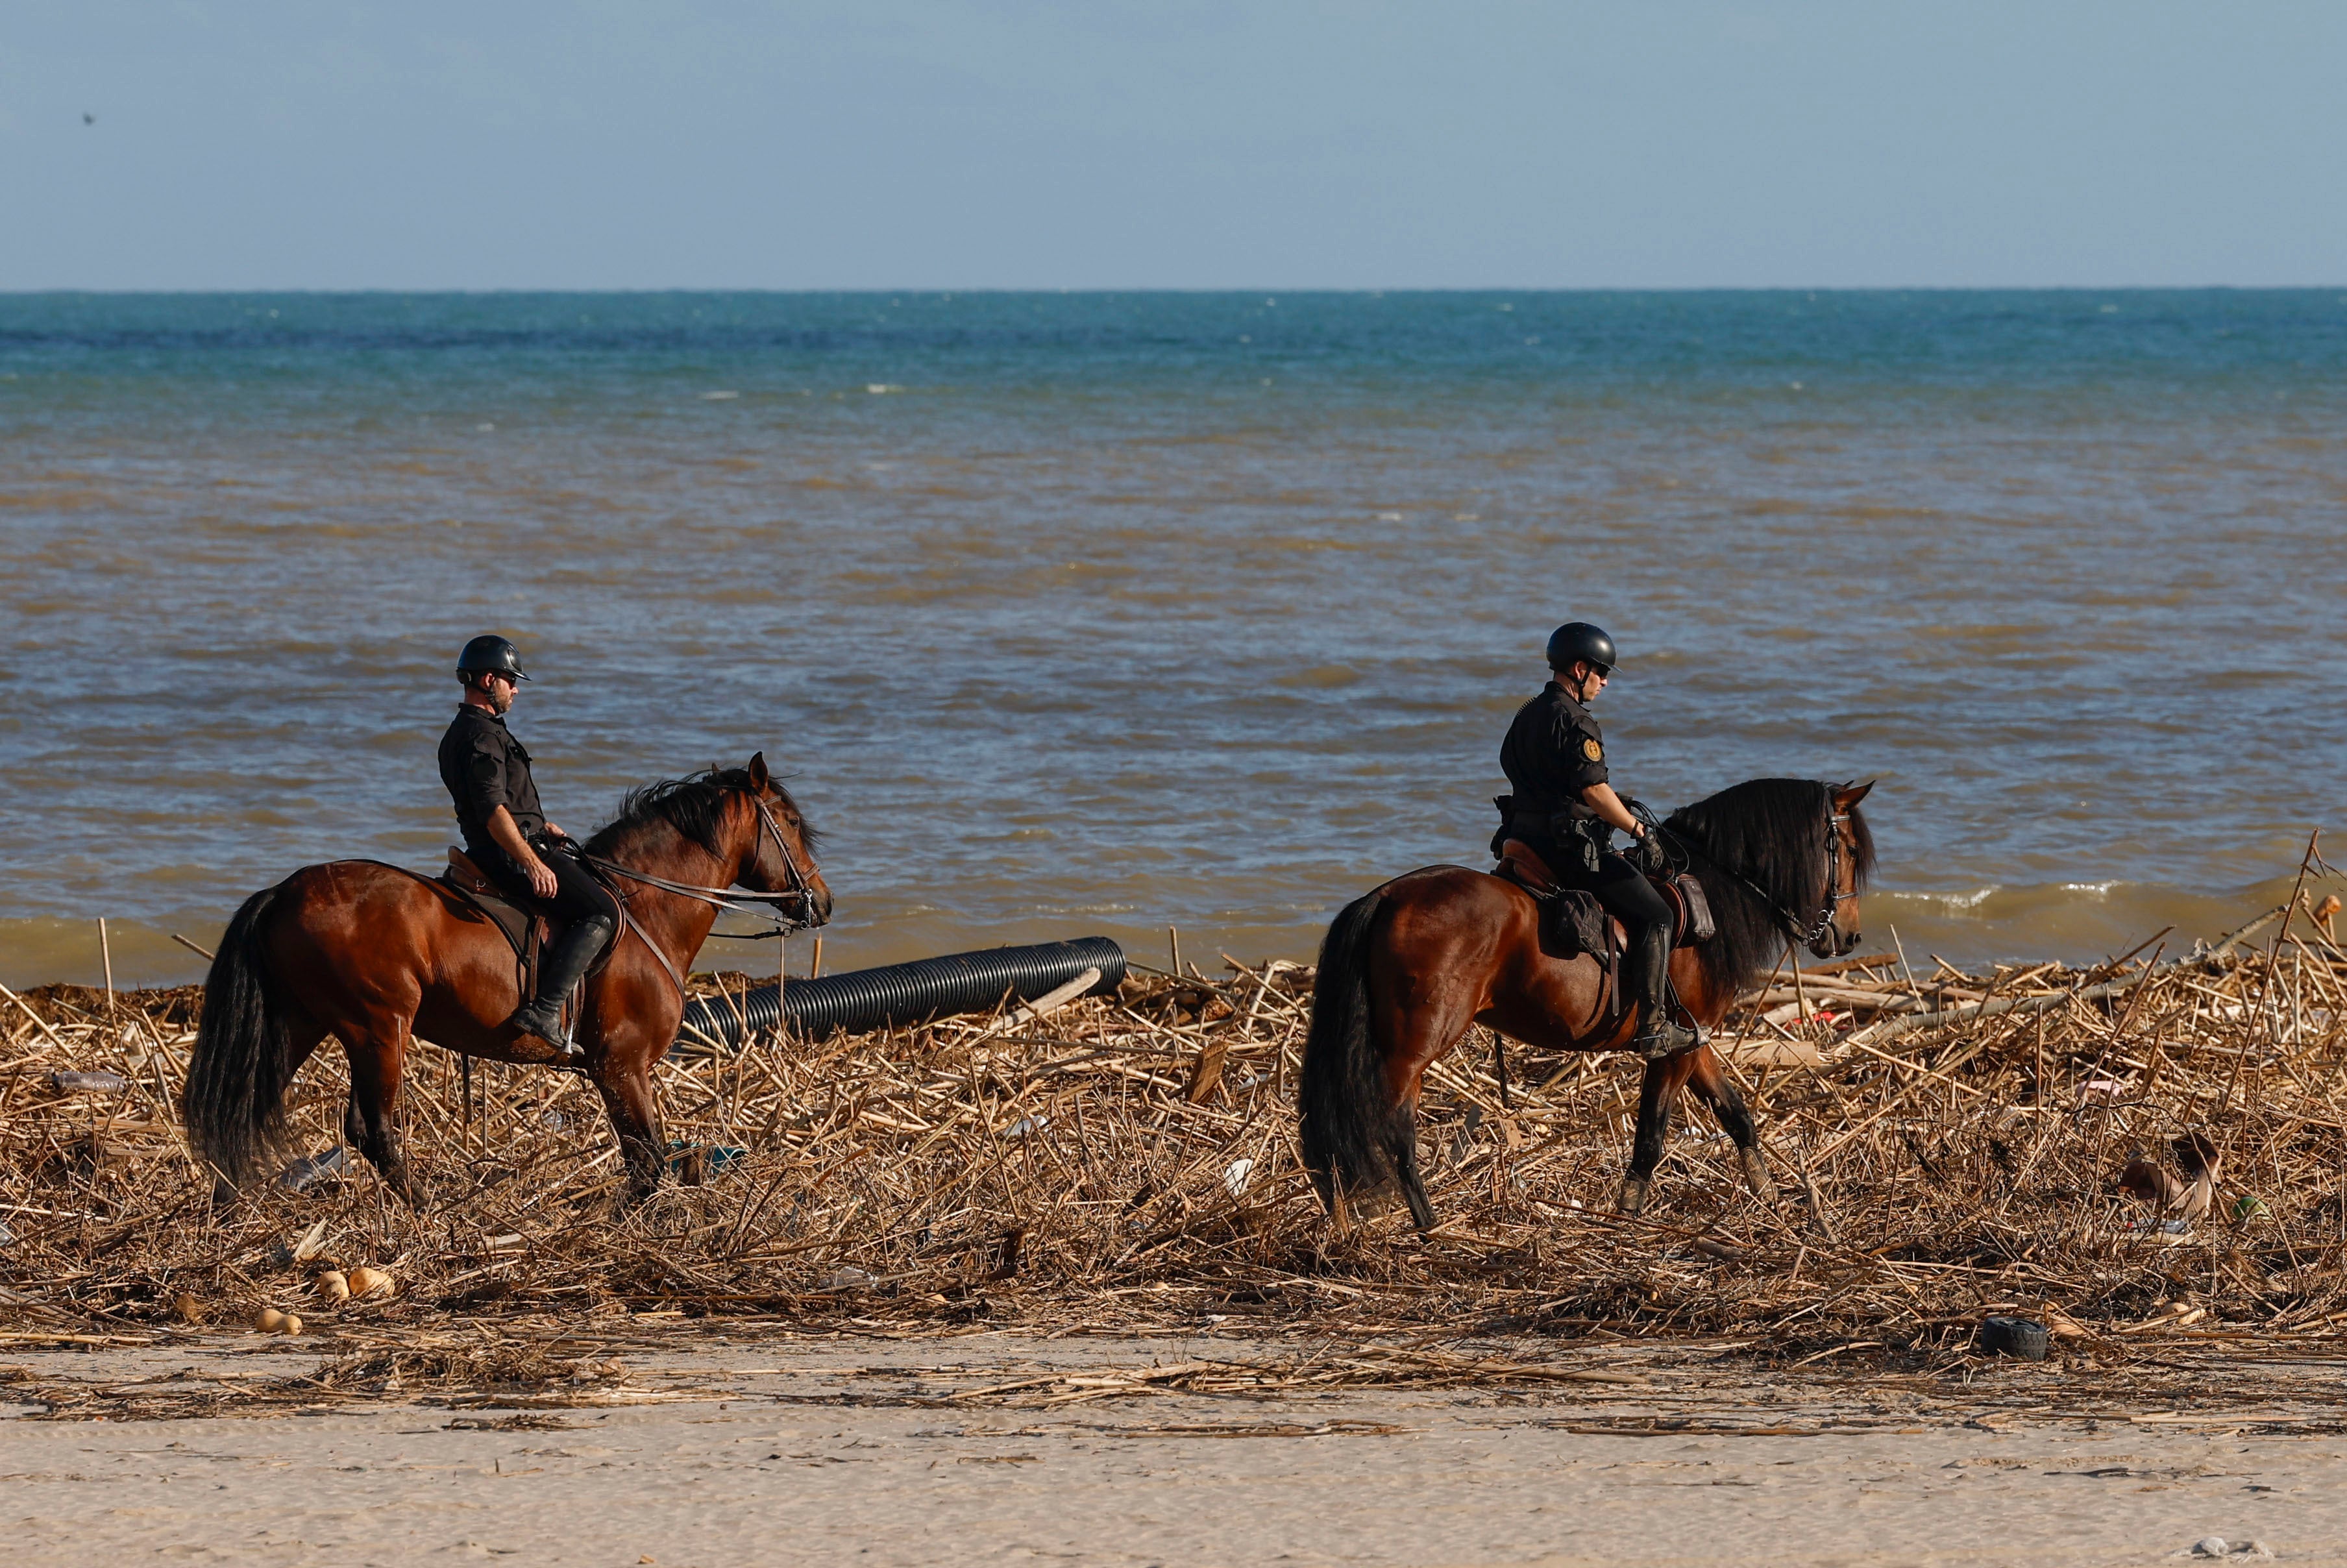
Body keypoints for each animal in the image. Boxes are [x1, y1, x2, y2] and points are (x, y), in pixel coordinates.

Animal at [185, 751, 826, 1211]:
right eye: (792, 822)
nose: (822, 902)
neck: (644, 905)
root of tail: (284, 891)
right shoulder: (621, 1066)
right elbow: (646, 1157)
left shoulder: (626, 1071)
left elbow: (649, 1156)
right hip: (378, 1028)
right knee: (372, 1131)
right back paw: (430, 1210)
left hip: (303, 1024)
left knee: (242, 1108)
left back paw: (229, 1205)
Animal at [1305, 779, 1868, 1230]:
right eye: (1848, 849)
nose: (1849, 935)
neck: (1714, 890)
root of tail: (1386, 897)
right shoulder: (1672, 1049)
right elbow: (1651, 1136)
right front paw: (1628, 1215)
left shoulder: (1695, 1039)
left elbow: (1737, 1117)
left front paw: (1770, 1198)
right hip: (1415, 1047)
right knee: (1395, 1128)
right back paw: (1429, 1225)